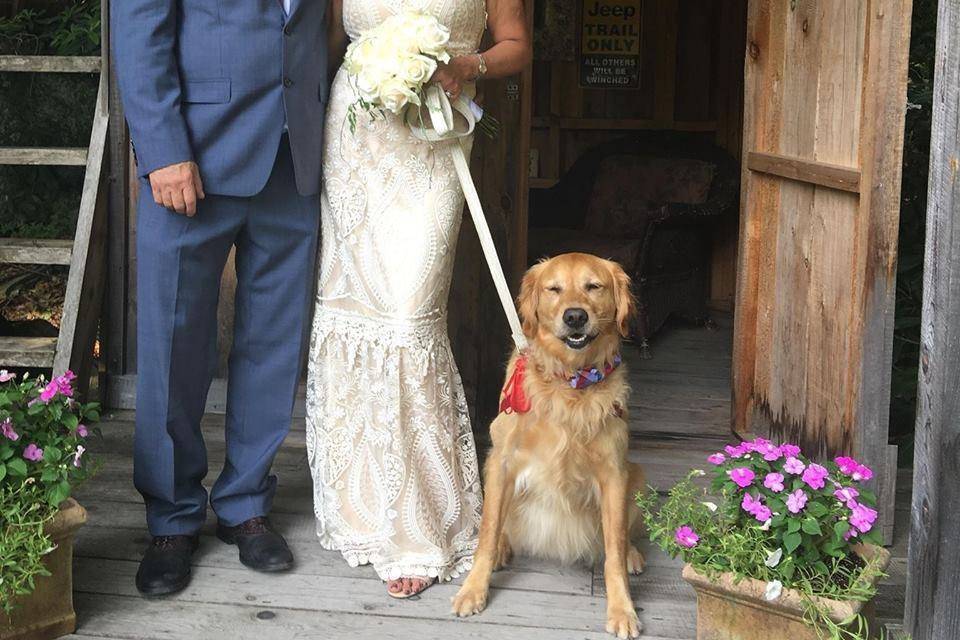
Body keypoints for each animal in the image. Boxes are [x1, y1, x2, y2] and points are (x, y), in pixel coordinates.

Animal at [454, 252, 648, 636]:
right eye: (554, 289)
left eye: (594, 286)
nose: (575, 316)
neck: (570, 380)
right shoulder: (502, 460)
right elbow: (486, 533)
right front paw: (473, 589)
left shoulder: (614, 472)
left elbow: (614, 551)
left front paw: (622, 608)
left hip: (636, 475)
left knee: (624, 535)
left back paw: (633, 553)